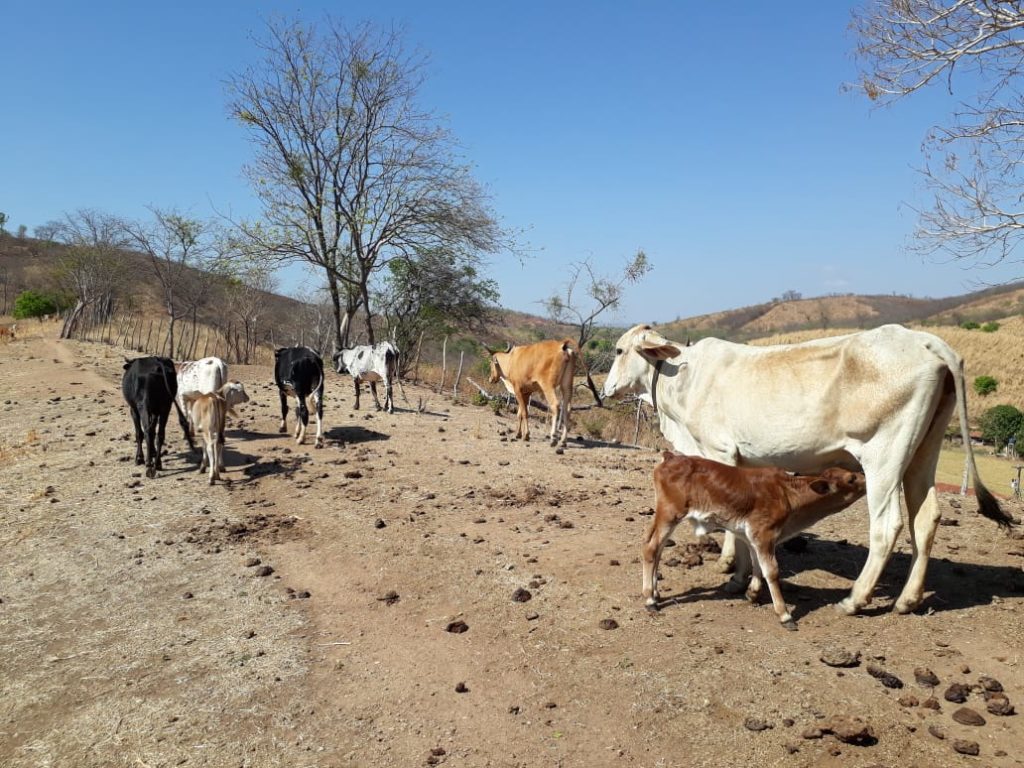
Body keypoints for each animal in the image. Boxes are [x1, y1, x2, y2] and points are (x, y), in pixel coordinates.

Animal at [647, 454, 864, 626]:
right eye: (851, 478)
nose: (865, 477)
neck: (787, 494)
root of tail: (671, 457)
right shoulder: (764, 533)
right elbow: (772, 571)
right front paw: (784, 614)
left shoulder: (752, 536)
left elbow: (757, 564)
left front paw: (752, 593)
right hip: (670, 514)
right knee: (650, 549)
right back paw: (649, 599)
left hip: (662, 515)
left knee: (654, 547)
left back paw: (655, 593)